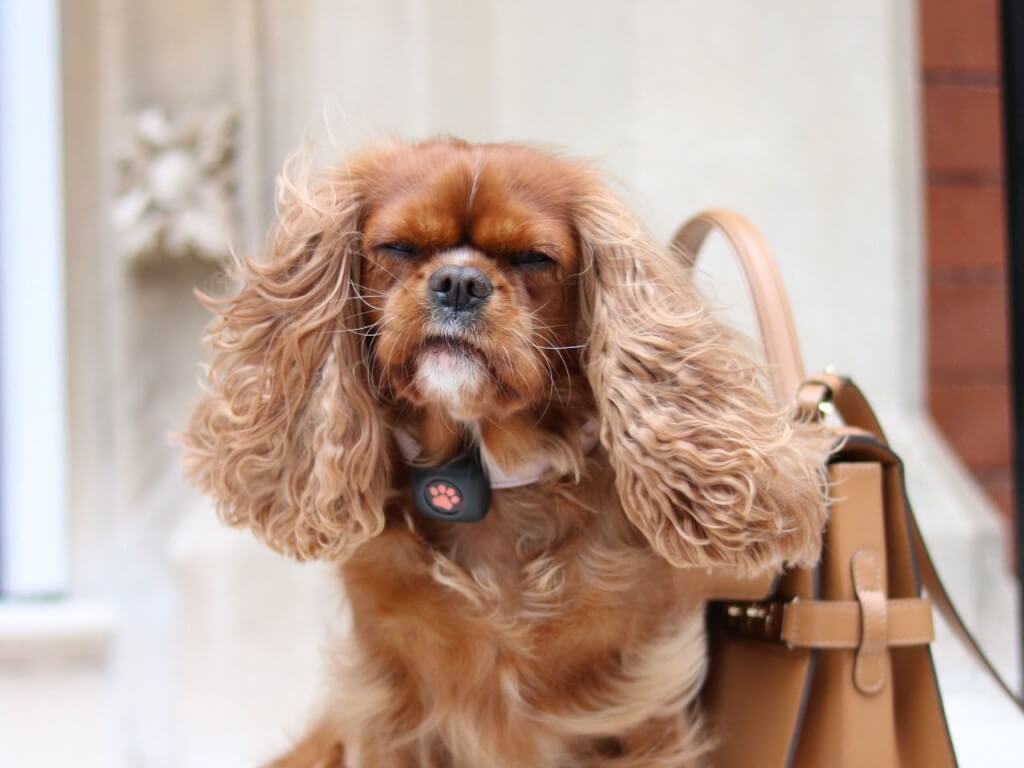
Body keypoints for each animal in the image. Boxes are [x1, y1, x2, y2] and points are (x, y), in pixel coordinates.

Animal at [184, 140, 827, 768]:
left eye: (532, 258)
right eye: (398, 247)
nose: (459, 282)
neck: (488, 476)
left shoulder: (638, 713)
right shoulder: (390, 715)